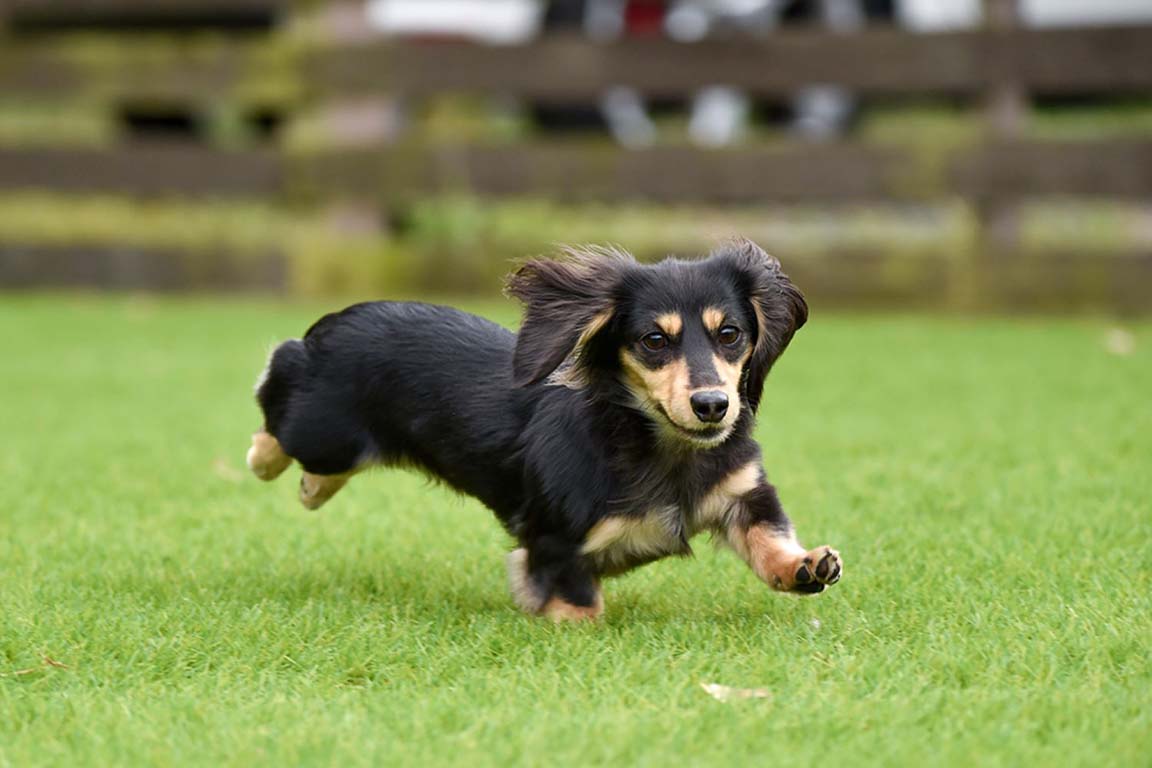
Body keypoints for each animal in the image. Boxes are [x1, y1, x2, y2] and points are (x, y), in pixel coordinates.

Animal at [245, 242, 838, 621]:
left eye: (730, 333)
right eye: (653, 340)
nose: (713, 406)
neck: (663, 449)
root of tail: (337, 320)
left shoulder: (742, 492)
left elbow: (767, 535)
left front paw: (803, 566)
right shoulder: (555, 543)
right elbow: (580, 604)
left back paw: (312, 487)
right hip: (323, 431)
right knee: (278, 385)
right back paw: (263, 457)